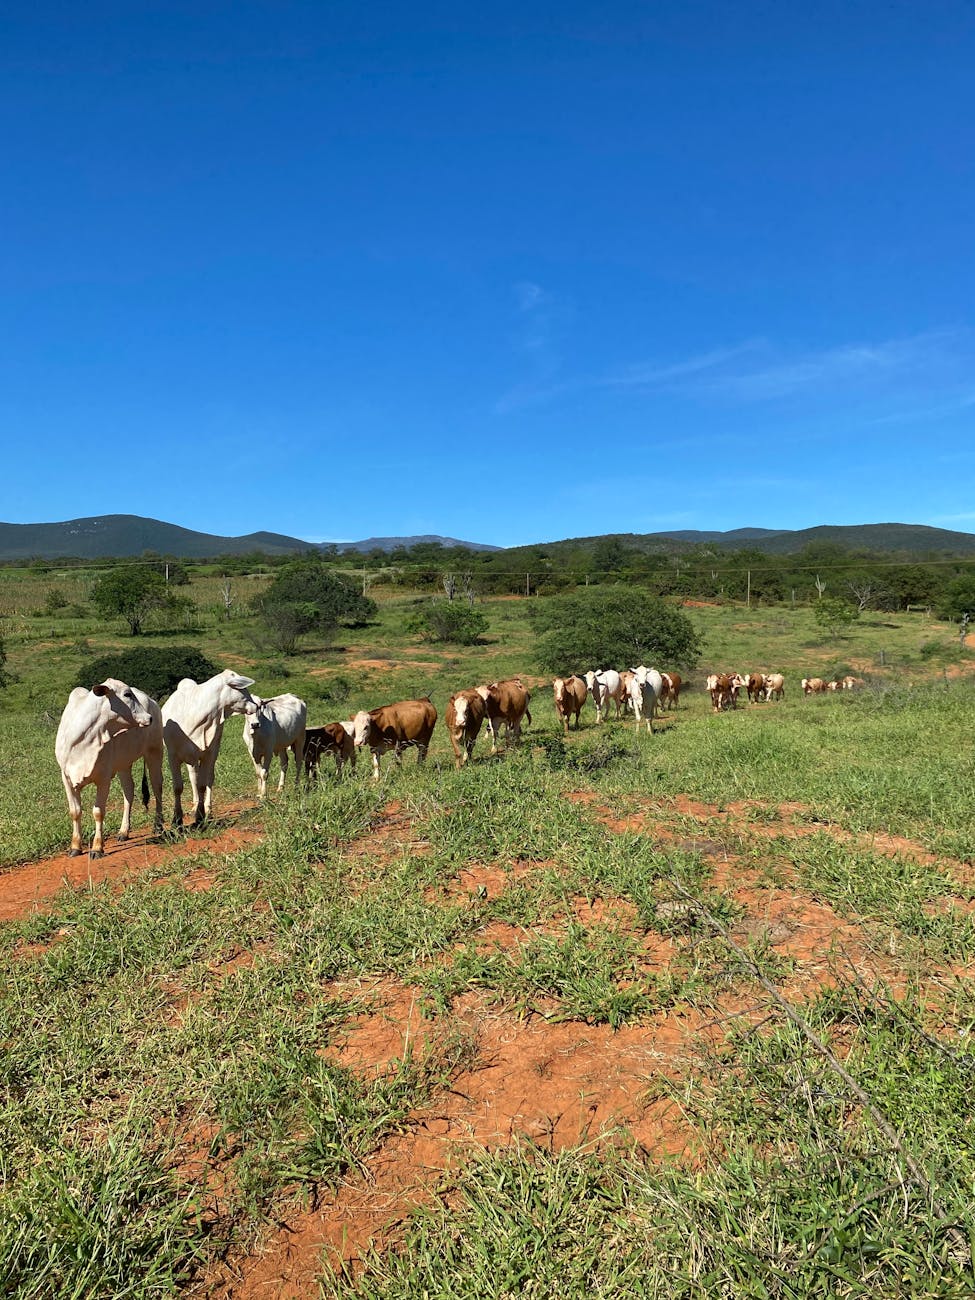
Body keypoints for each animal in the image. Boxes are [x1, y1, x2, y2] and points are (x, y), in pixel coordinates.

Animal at [55, 678, 164, 858]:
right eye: (127, 694)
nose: (149, 718)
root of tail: (153, 702)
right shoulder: (67, 778)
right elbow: (75, 811)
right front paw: (75, 847)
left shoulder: (103, 778)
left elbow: (98, 812)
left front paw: (97, 848)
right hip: (124, 764)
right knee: (129, 791)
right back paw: (123, 832)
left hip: (154, 752)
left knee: (157, 787)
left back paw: (159, 825)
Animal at [162, 670, 258, 828]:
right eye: (243, 689)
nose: (256, 706)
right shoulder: (173, 756)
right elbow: (178, 787)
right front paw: (177, 820)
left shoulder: (207, 754)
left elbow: (202, 785)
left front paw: (200, 816)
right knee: (193, 777)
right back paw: (195, 805)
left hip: (212, 752)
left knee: (208, 779)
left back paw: (207, 808)